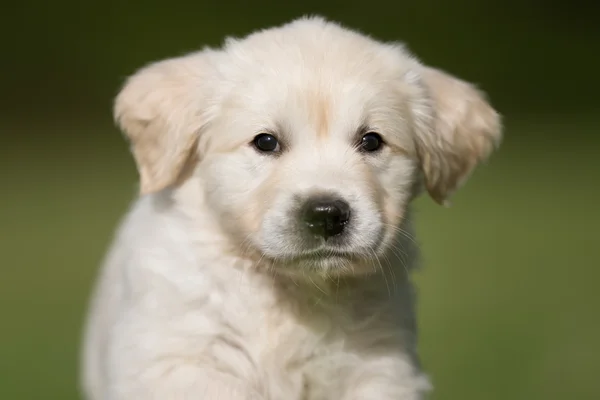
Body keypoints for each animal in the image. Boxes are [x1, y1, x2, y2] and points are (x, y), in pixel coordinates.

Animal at [81, 15, 502, 400]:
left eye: (371, 141)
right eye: (265, 142)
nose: (326, 214)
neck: (293, 292)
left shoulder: (378, 367)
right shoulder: (184, 359)